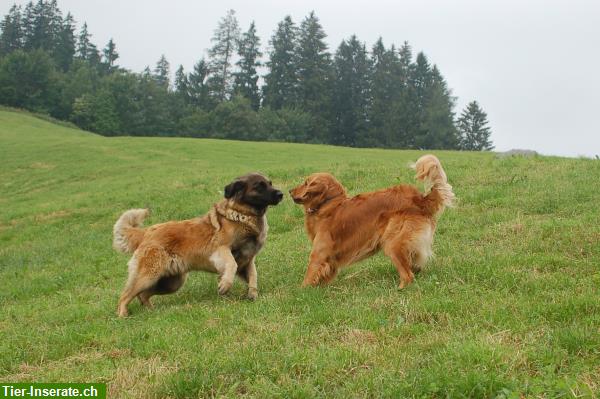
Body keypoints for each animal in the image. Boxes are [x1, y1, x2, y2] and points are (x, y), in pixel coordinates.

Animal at [113, 173, 284, 318]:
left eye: (270, 183)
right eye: (259, 186)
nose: (281, 194)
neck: (243, 215)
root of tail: (146, 231)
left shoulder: (248, 260)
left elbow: (254, 276)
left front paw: (252, 294)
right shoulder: (221, 250)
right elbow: (231, 264)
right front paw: (224, 285)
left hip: (172, 283)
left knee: (142, 294)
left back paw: (151, 311)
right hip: (148, 275)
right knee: (125, 295)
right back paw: (123, 315)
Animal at [290, 155, 454, 290]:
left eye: (306, 183)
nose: (290, 191)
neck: (328, 204)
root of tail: (419, 199)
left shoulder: (319, 253)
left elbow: (309, 275)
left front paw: (301, 292)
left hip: (393, 243)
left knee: (408, 275)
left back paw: (399, 289)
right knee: (414, 266)